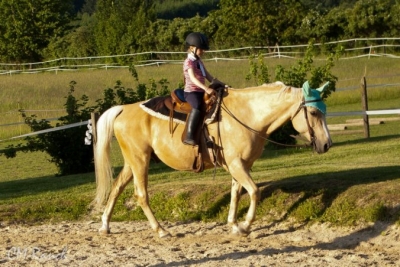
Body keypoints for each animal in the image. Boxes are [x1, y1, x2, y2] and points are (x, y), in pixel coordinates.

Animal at [93, 81, 332, 237]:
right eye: (313, 113)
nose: (326, 144)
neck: (248, 115)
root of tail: (124, 109)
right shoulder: (236, 165)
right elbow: (254, 191)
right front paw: (245, 226)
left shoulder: (241, 165)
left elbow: (236, 193)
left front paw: (234, 225)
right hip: (140, 159)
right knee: (141, 195)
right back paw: (161, 230)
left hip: (132, 161)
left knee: (117, 188)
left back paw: (105, 226)